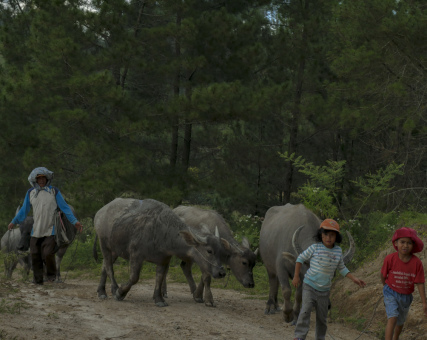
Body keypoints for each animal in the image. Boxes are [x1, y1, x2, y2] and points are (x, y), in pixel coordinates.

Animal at [95, 197, 229, 306]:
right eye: (209, 251)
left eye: (220, 251)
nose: (221, 272)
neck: (161, 231)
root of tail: (100, 212)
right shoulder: (136, 256)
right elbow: (134, 278)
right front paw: (120, 293)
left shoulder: (163, 260)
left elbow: (159, 279)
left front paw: (159, 299)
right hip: (104, 245)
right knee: (109, 267)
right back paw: (114, 289)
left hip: (114, 250)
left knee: (104, 267)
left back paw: (101, 291)